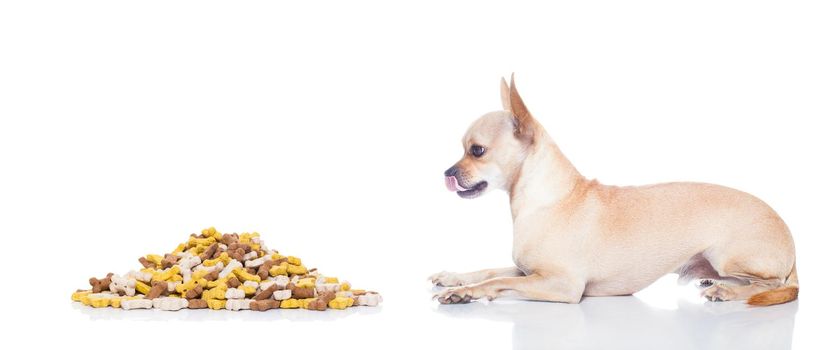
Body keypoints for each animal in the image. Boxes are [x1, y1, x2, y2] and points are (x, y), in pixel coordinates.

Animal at [432, 75, 796, 304]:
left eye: (476, 151)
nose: (446, 173)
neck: (543, 199)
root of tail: (790, 241)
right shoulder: (528, 272)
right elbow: (490, 270)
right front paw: (455, 280)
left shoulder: (561, 284)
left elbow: (499, 281)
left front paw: (470, 291)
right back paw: (714, 282)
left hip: (729, 257)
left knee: (769, 284)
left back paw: (727, 291)